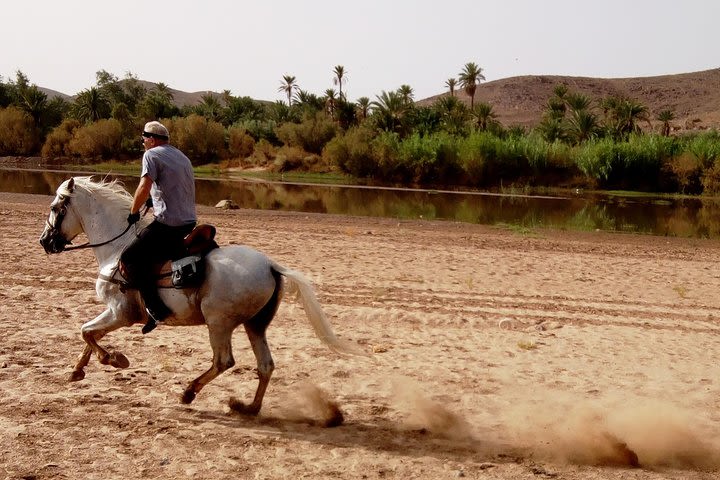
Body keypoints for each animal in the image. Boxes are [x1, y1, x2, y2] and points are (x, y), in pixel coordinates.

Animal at [39, 176, 360, 416]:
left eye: (55, 207)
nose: (45, 242)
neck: (117, 248)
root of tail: (271, 265)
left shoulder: (121, 313)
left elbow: (87, 333)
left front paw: (115, 359)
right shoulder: (115, 313)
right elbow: (89, 334)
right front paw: (78, 370)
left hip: (219, 323)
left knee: (223, 361)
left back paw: (189, 392)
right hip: (255, 325)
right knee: (265, 366)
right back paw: (248, 407)